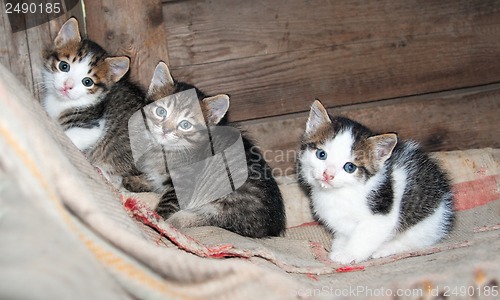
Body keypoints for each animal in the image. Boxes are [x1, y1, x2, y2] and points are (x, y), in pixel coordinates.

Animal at [298, 100, 456, 262]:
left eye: (350, 167)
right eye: (321, 154)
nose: (328, 175)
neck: (340, 192)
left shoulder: (380, 217)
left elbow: (365, 236)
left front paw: (348, 254)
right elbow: (343, 234)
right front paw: (340, 246)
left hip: (427, 221)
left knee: (416, 240)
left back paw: (385, 249)